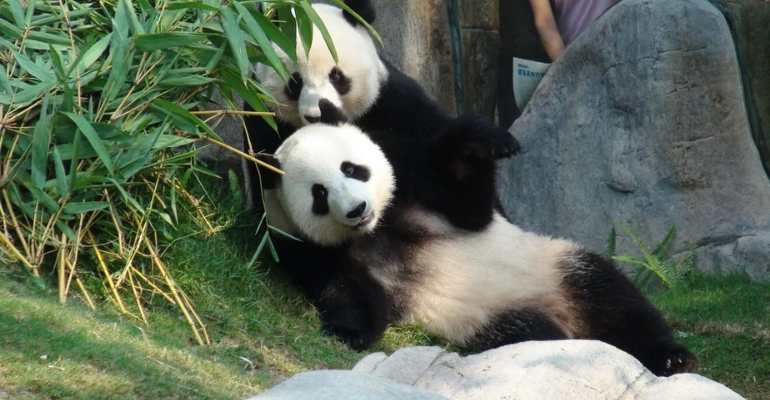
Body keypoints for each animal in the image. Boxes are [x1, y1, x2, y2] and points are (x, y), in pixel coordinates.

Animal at [255, 117, 699, 378]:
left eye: (352, 168)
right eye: (319, 193)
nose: (357, 208)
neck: (377, 228)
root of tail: (562, 314)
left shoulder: (410, 173)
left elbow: (471, 207)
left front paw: (485, 141)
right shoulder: (307, 247)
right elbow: (345, 286)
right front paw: (348, 330)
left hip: (553, 267)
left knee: (612, 297)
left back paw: (672, 357)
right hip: (495, 320)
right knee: (532, 334)